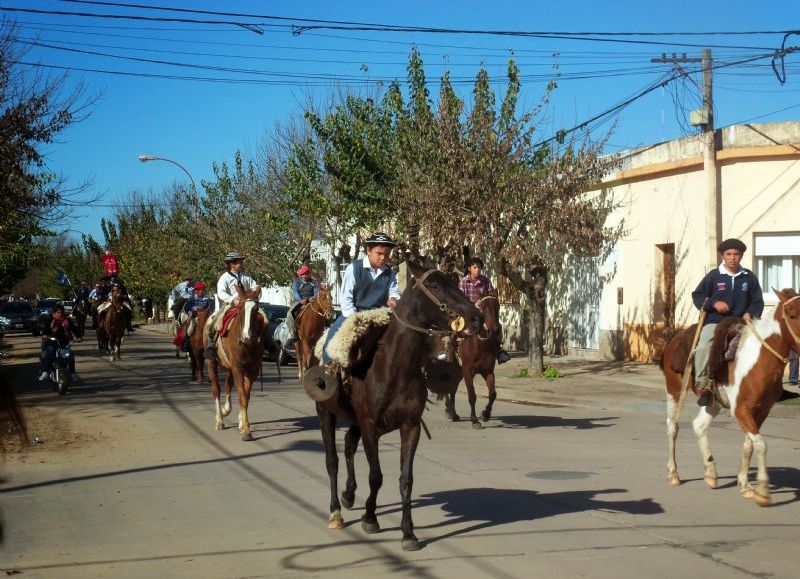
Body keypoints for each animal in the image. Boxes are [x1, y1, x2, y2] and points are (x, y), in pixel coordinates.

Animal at [206, 288, 266, 442]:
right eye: (241, 308)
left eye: (256, 309)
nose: (247, 336)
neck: (247, 345)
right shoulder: (238, 368)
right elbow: (242, 396)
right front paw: (245, 430)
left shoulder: (253, 370)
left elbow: (246, 396)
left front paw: (242, 423)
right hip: (212, 363)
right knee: (216, 389)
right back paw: (219, 420)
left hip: (231, 367)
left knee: (228, 384)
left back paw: (226, 410)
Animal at [314, 262, 482, 552]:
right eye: (435, 285)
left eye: (454, 281)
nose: (476, 318)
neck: (393, 367)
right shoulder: (370, 429)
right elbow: (376, 476)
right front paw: (370, 518)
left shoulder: (410, 427)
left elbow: (406, 480)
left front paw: (408, 533)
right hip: (327, 414)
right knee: (332, 460)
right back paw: (336, 511)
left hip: (354, 421)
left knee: (348, 446)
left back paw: (349, 495)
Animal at [444, 296, 500, 428]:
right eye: (484, 309)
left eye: (498, 308)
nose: (495, 331)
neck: (481, 346)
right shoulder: (468, 372)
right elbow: (472, 395)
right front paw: (474, 420)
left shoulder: (488, 371)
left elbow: (492, 394)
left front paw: (485, 414)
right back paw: (449, 410)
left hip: (458, 372)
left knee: (453, 389)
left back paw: (454, 414)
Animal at [664, 288, 800, 506]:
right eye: (792, 314)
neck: (758, 359)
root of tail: (677, 336)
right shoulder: (740, 409)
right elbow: (760, 444)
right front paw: (763, 491)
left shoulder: (761, 410)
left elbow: (749, 444)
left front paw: (745, 485)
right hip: (674, 391)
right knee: (673, 427)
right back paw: (674, 474)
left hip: (713, 401)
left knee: (699, 425)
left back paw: (711, 473)